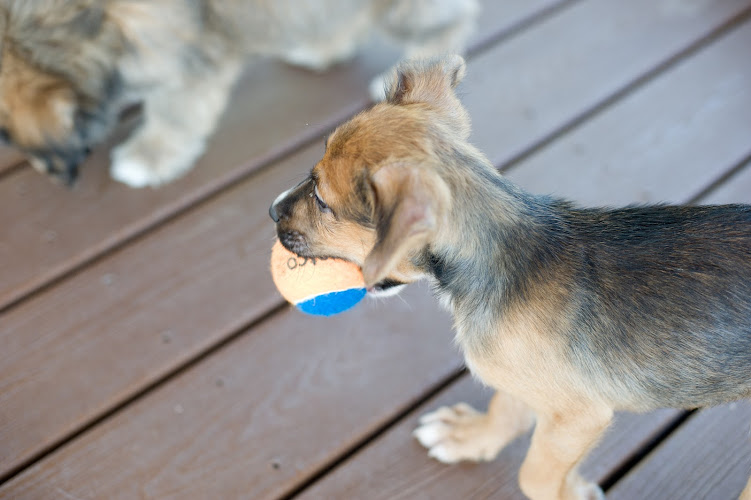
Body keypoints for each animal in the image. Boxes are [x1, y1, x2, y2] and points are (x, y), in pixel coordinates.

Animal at [0, 0, 478, 188]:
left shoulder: (186, 54)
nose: (54, 175)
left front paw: (151, 155)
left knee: (446, 23)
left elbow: (173, 111)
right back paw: (320, 48)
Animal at [274, 56, 751, 498]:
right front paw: (471, 438)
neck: (498, 257)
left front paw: (573, 490)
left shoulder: (578, 416)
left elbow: (535, 476)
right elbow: (506, 405)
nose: (272, 210)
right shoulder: (532, 383)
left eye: (321, 200)